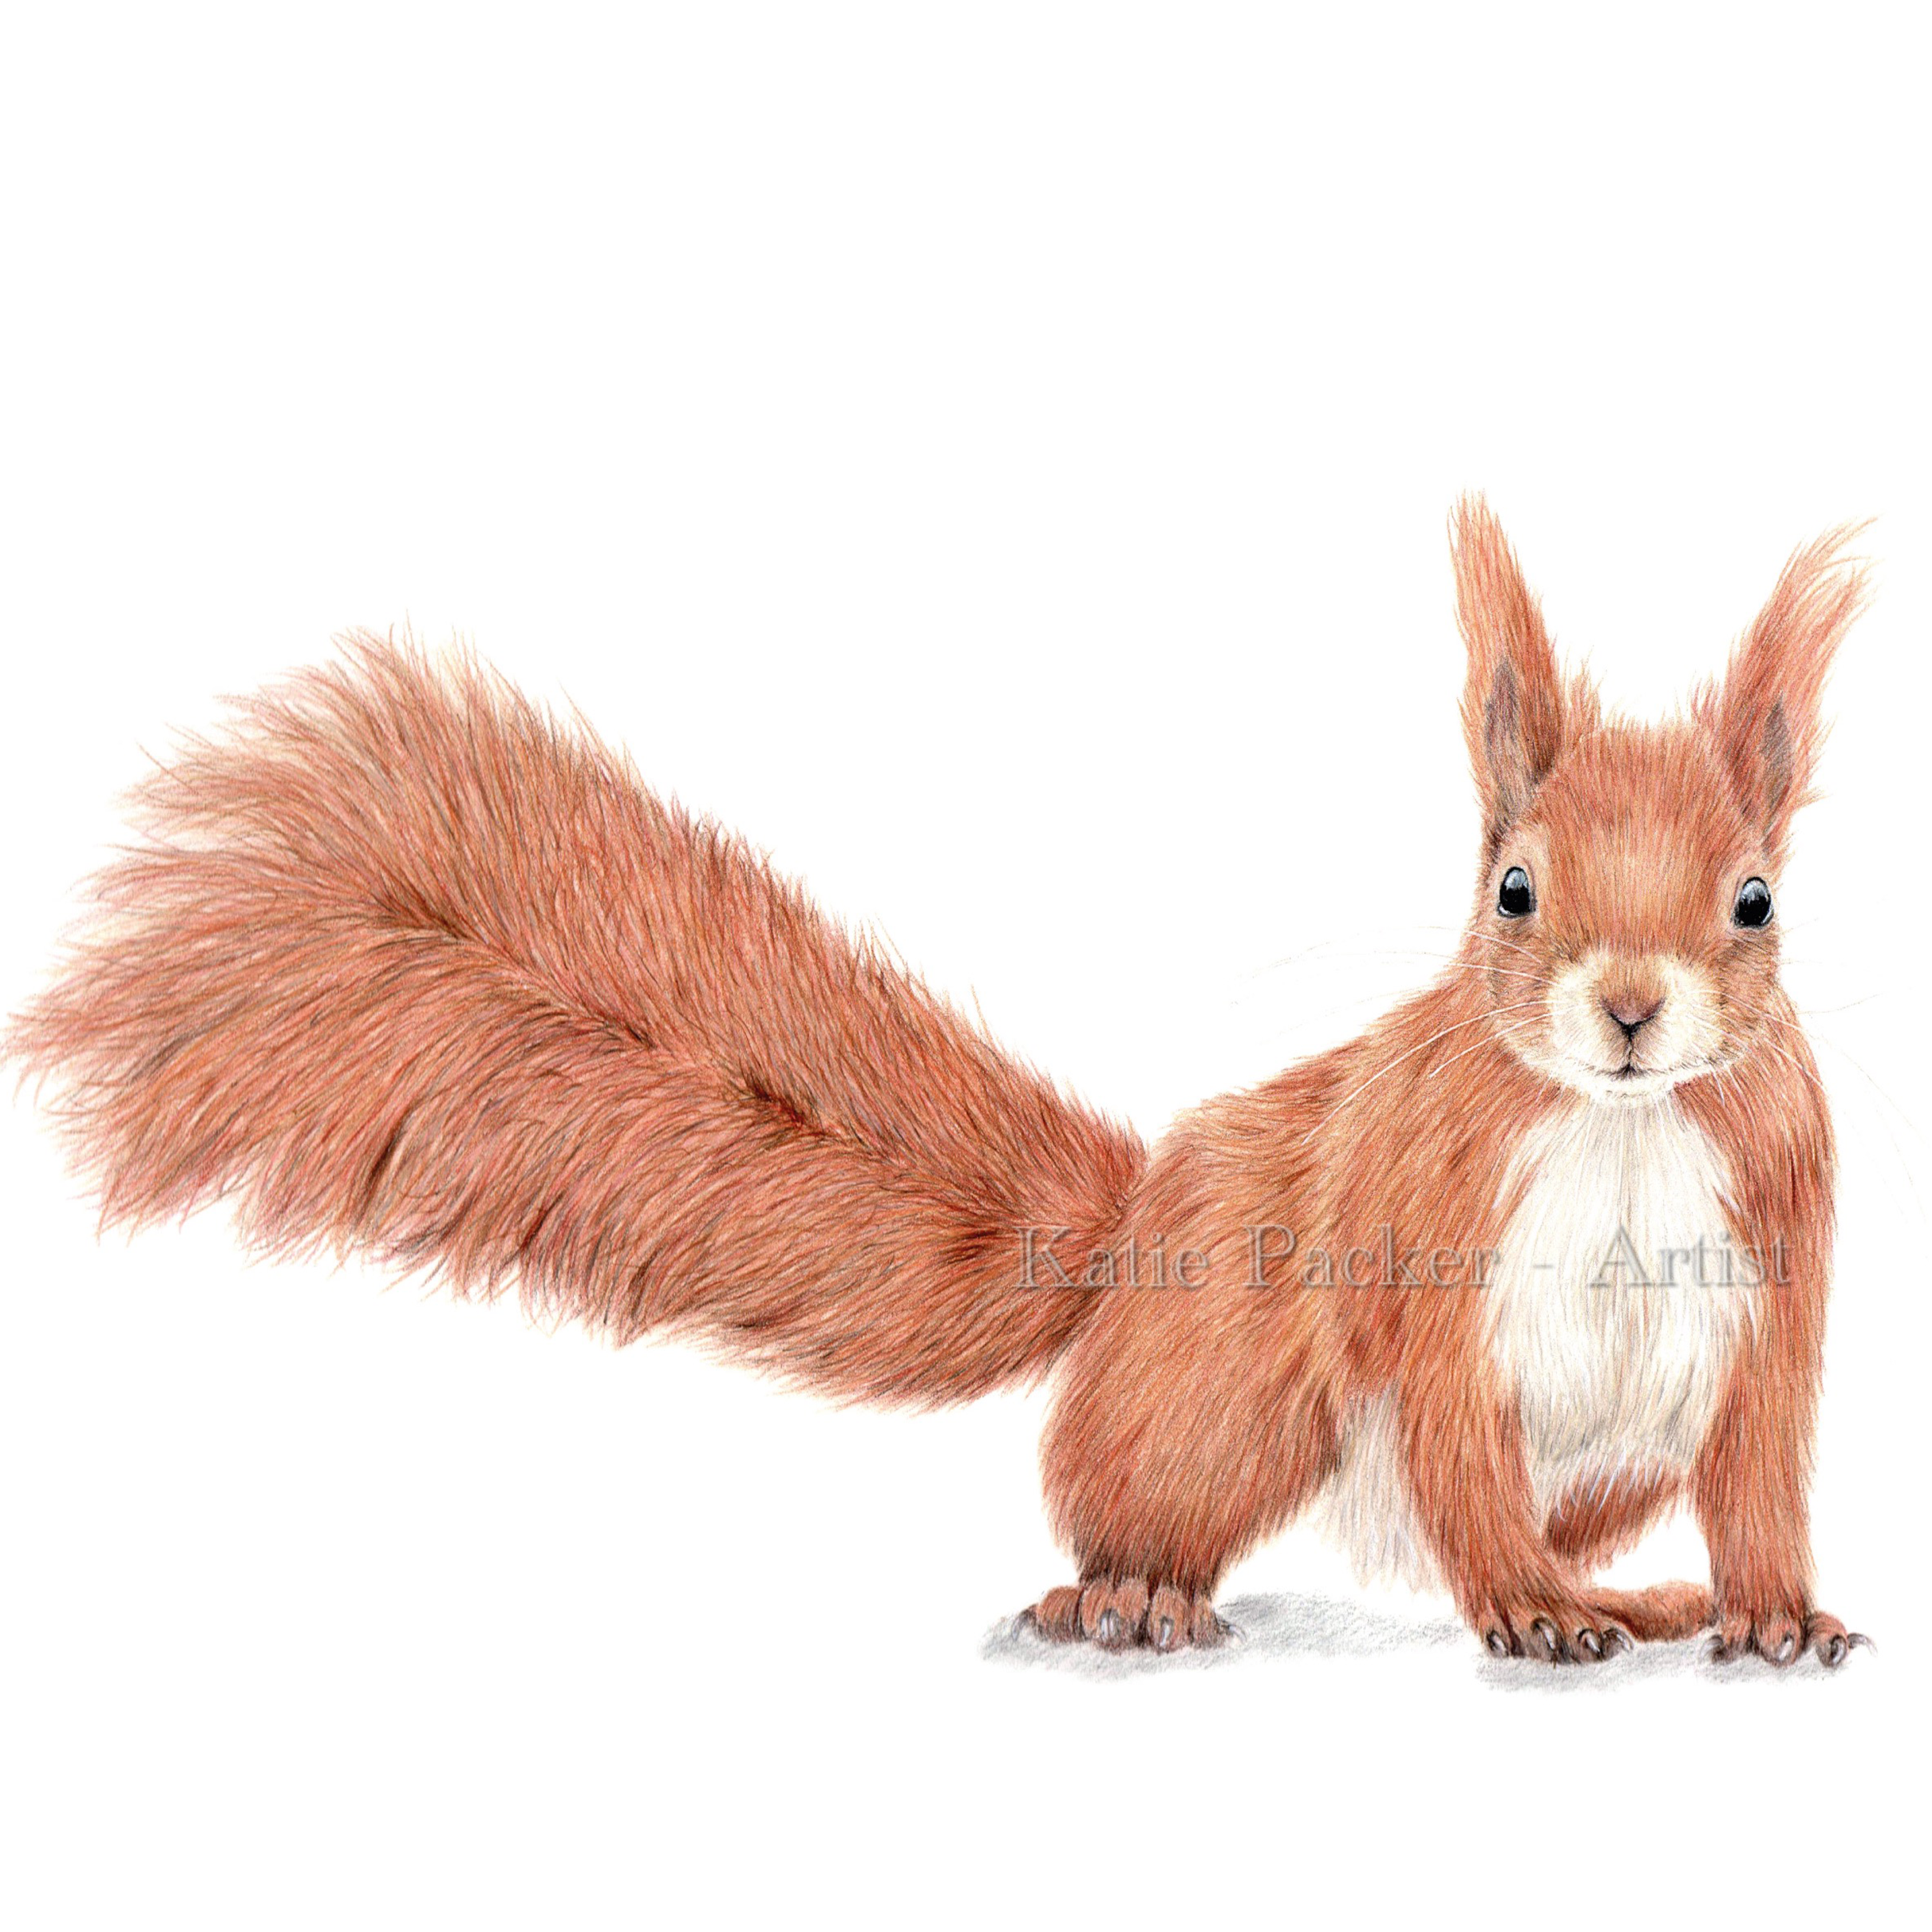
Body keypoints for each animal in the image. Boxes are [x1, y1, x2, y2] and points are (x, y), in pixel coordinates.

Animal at [8, 498, 1870, 1668]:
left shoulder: (1771, 1271)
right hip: (1225, 1385)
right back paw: (1141, 1598)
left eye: (1753, 901)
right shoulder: (1427, 1242)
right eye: (1513, 890)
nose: (1626, 1009)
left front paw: (1777, 1612)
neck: (1621, 1127)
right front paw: (1536, 1617)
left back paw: (1639, 1604)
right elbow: (1460, 1445)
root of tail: (1121, 1248)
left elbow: (1763, 1465)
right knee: (1148, 1503)